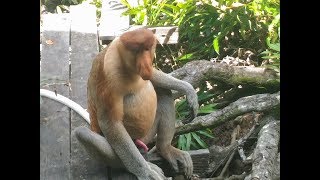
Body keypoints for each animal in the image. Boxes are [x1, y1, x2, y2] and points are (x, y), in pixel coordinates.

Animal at [75, 27, 199, 179]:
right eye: (137, 51)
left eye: (148, 49)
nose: (145, 65)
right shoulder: (108, 74)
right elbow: (111, 123)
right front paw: (147, 173)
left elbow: (152, 76)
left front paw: (189, 90)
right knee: (83, 134)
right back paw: (141, 166)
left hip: (147, 135)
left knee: (164, 92)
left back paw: (165, 149)